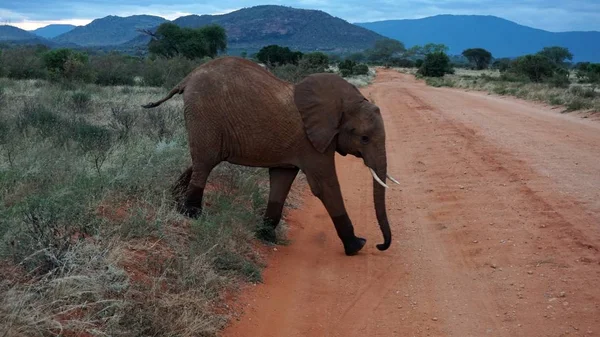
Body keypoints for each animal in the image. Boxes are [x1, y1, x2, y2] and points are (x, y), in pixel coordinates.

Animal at [142, 55, 398, 255]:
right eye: (364, 138)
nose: (380, 245)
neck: (343, 102)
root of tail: (187, 78)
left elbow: (281, 181)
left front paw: (265, 236)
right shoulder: (312, 143)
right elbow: (325, 186)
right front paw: (356, 246)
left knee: (201, 160)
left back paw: (175, 202)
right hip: (204, 113)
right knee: (205, 163)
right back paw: (191, 215)